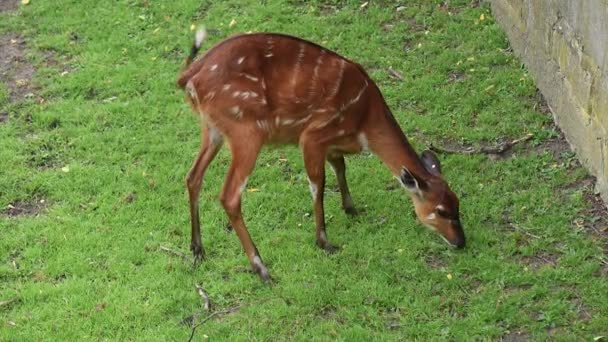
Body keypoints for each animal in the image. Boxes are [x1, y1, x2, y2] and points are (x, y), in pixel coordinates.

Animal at [177, 28, 466, 282]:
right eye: (441, 211)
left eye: (457, 204)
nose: (460, 242)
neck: (366, 119)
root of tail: (190, 76)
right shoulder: (312, 136)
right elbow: (318, 184)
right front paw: (324, 242)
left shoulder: (331, 144)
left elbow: (340, 166)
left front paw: (351, 208)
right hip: (247, 132)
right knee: (229, 195)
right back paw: (261, 268)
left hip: (212, 129)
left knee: (193, 176)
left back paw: (197, 249)